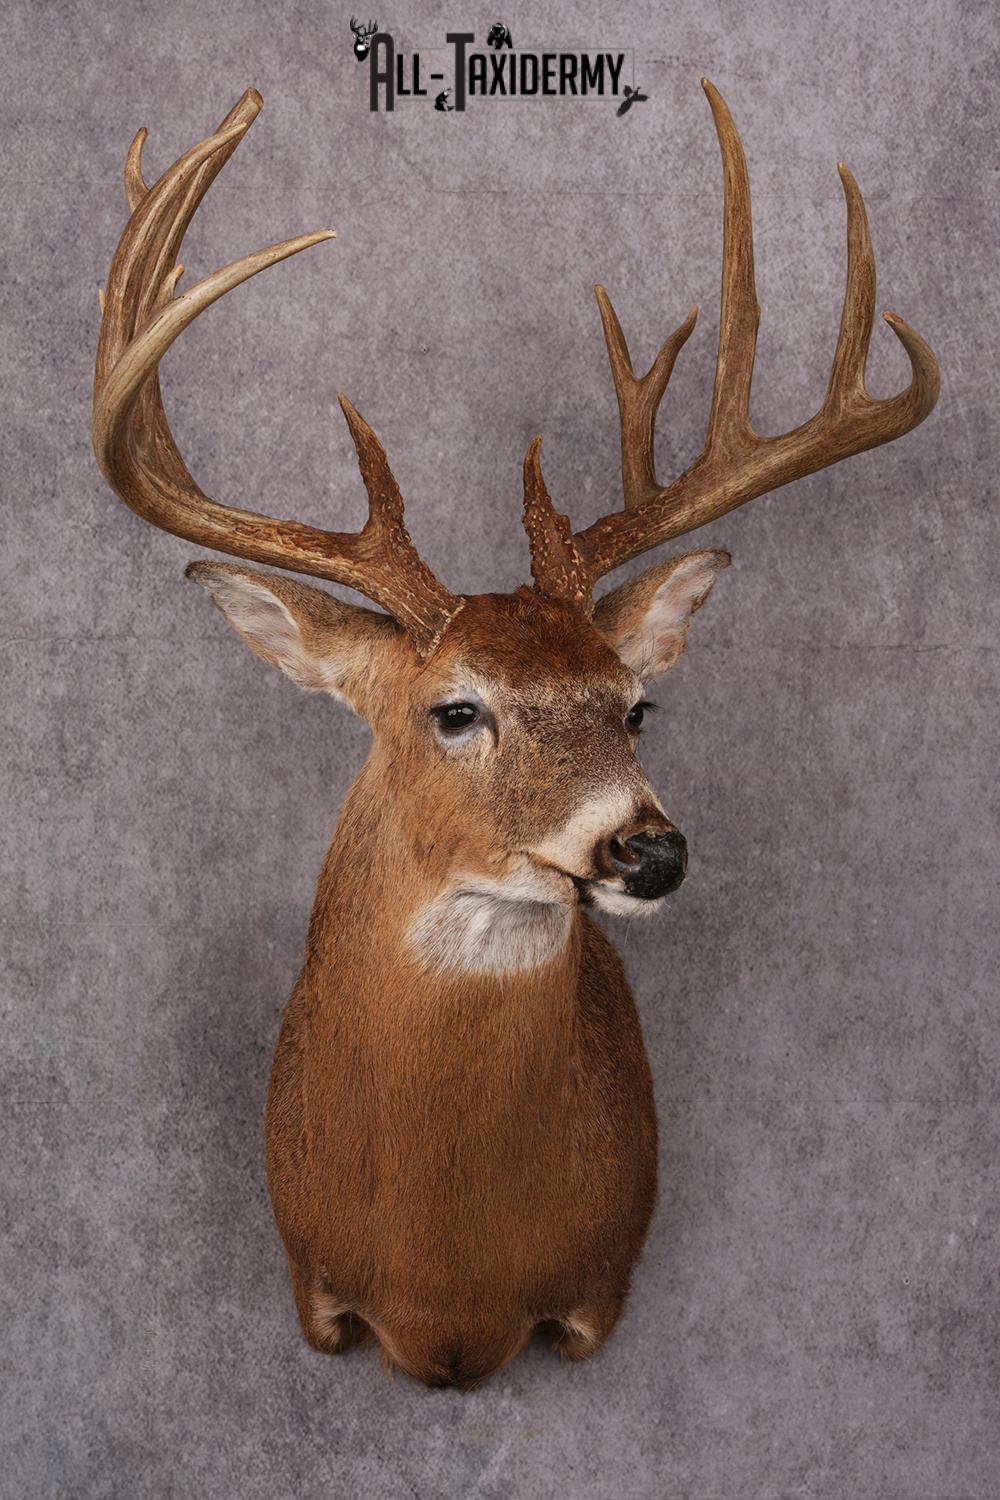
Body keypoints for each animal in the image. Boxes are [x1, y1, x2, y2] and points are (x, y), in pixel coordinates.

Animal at [93, 84, 938, 1389]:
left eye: (635, 704)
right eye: (455, 708)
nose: (650, 850)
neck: (451, 1291)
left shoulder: (593, 1295)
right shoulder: (315, 1289)